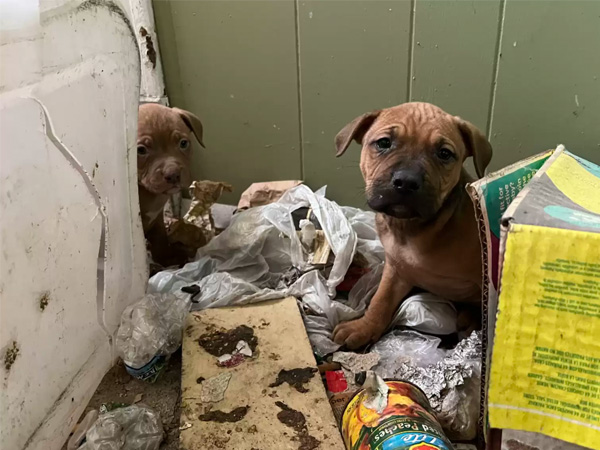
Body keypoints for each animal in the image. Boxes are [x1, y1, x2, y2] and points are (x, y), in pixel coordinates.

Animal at [137, 103, 204, 267]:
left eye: (183, 143)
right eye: (140, 150)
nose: (173, 174)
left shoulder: (157, 219)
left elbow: (160, 240)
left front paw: (168, 258)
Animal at [333, 102, 492, 349]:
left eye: (444, 154)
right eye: (384, 143)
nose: (406, 182)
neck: (409, 228)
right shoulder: (396, 269)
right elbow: (381, 300)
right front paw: (363, 328)